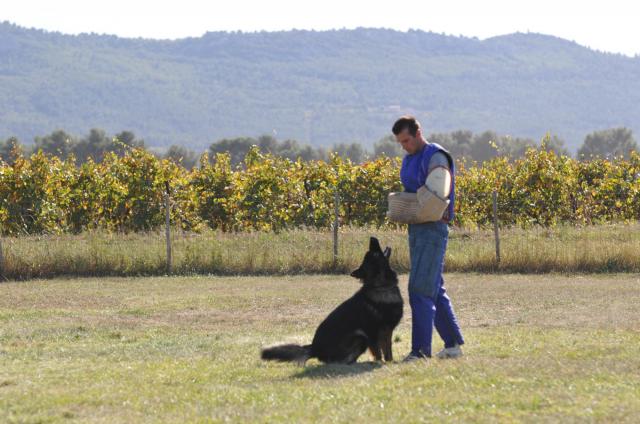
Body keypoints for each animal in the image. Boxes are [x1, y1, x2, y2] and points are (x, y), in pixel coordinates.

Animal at [258, 238, 400, 364]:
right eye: (374, 252)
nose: (372, 238)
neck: (382, 286)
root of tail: (314, 348)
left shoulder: (387, 331)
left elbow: (388, 350)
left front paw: (390, 362)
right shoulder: (371, 332)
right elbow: (377, 352)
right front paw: (379, 362)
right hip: (360, 337)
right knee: (339, 361)